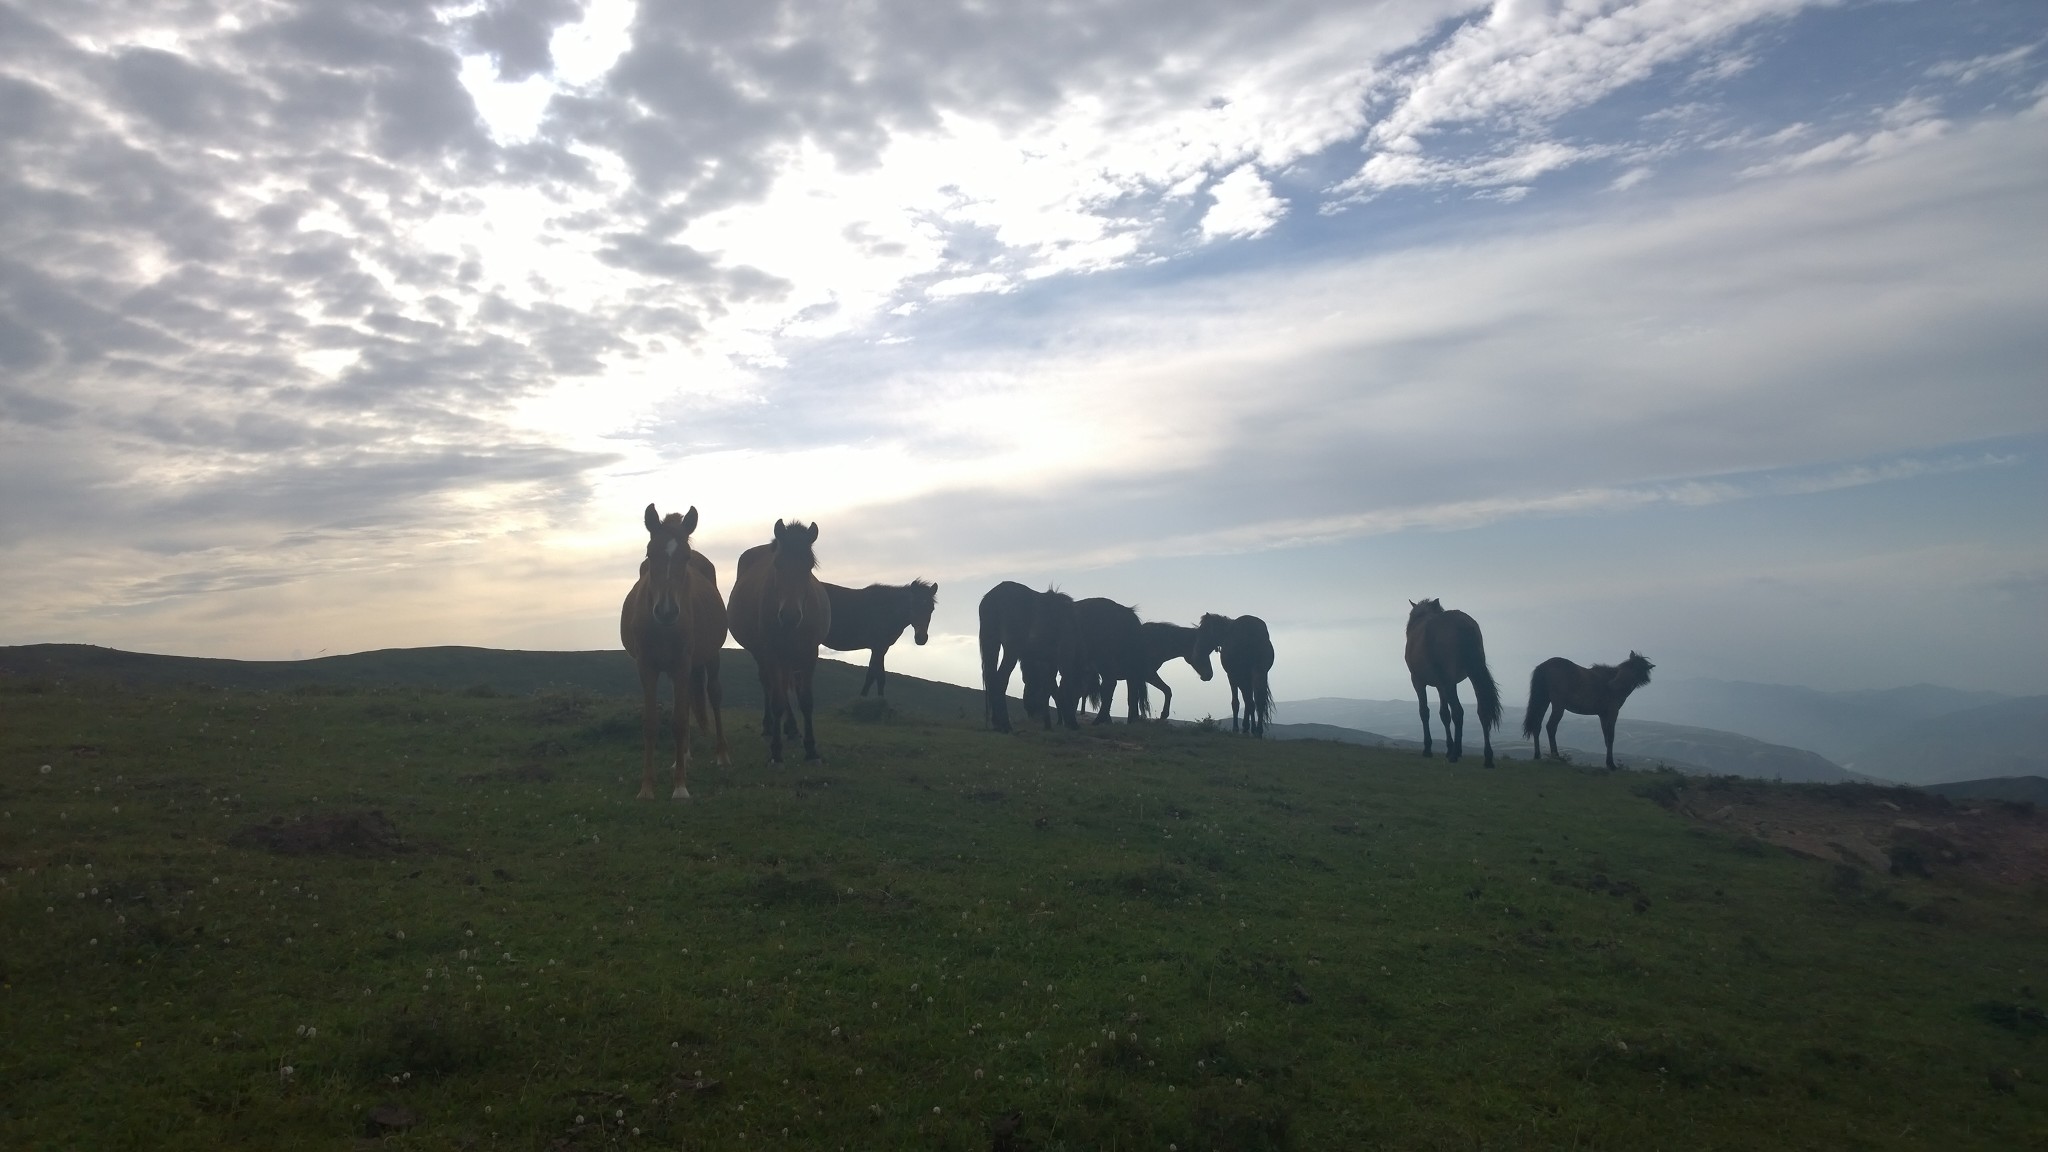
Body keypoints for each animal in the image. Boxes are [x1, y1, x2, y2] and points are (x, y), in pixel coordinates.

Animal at [618, 502, 733, 799]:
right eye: (650, 553)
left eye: (686, 556)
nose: (667, 611)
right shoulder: (647, 667)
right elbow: (651, 723)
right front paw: (647, 787)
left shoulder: (682, 664)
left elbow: (679, 722)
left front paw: (680, 788)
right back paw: (684, 755)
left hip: (709, 657)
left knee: (714, 695)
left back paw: (721, 755)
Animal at [724, 520, 827, 762]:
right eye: (777, 564)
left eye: (809, 565)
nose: (790, 616)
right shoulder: (771, 654)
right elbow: (778, 700)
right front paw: (776, 752)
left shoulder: (810, 653)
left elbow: (805, 700)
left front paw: (811, 749)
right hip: (763, 654)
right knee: (769, 685)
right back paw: (770, 727)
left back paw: (792, 728)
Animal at [978, 578, 1089, 729]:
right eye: (1078, 692)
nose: (1072, 719)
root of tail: (993, 598)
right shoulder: (1063, 660)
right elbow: (1060, 688)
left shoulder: (1048, 662)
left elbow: (1048, 689)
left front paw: (1048, 724)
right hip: (1011, 651)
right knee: (1000, 680)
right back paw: (1005, 725)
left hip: (992, 644)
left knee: (991, 678)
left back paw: (997, 722)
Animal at [1400, 594, 1499, 766]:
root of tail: (1464, 625)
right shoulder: (1442, 685)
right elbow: (1444, 714)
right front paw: (1449, 748)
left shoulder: (1418, 681)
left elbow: (1424, 711)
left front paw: (1428, 749)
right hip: (1472, 675)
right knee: (1482, 711)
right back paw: (1487, 757)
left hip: (1448, 680)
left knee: (1458, 711)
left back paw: (1454, 755)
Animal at [1515, 651, 1654, 766]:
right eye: (1627, 666)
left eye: (1636, 668)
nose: (1614, 684)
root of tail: (1544, 666)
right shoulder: (1613, 712)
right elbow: (1610, 737)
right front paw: (1611, 764)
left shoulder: (1602, 715)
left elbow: (1606, 737)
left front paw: (1608, 762)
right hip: (1558, 705)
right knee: (1551, 726)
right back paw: (1556, 756)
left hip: (1543, 701)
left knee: (1537, 726)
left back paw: (1537, 755)